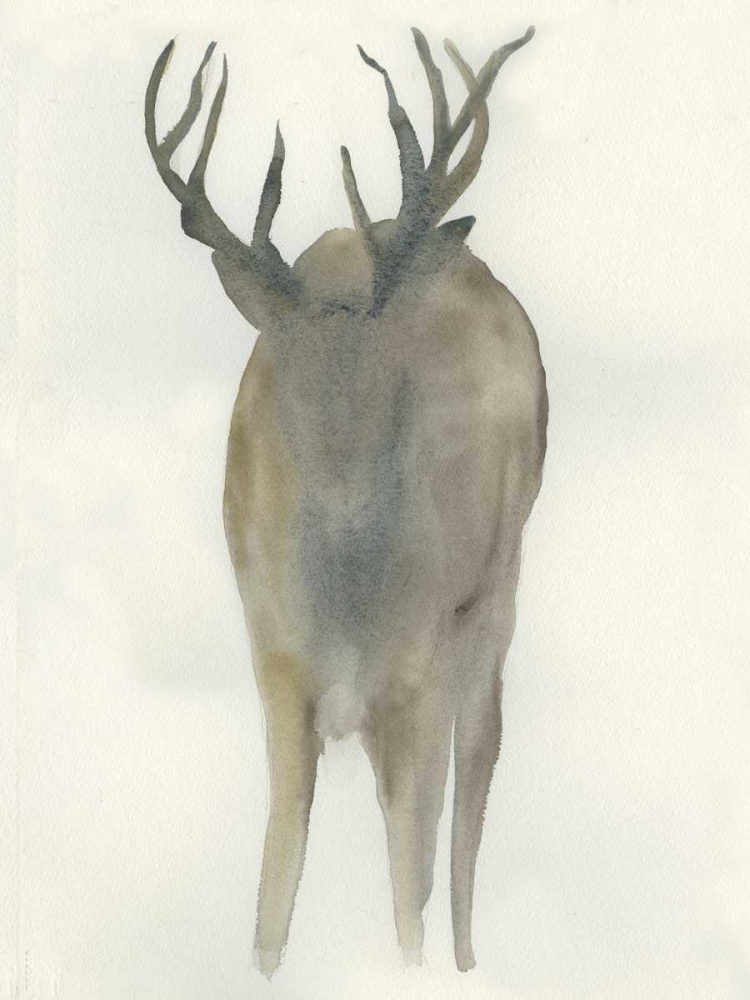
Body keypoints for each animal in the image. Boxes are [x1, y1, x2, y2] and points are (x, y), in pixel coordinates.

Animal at [145, 23, 547, 978]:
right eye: (280, 367)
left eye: (386, 347)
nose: (342, 486)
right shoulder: (276, 668)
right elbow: (273, 892)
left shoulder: (418, 672)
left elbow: (409, 882)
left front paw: (419, 967)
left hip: (497, 588)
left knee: (477, 768)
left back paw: (472, 962)